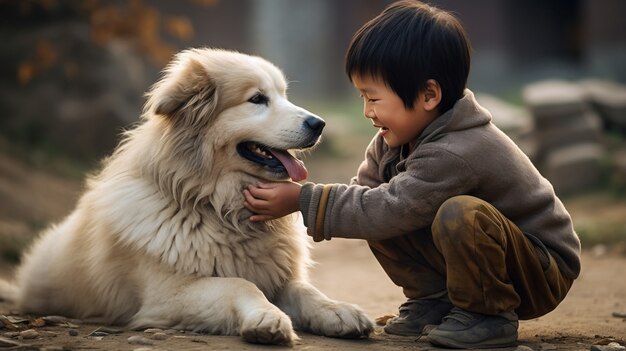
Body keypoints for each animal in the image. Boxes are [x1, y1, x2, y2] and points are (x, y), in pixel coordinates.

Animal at [0, 47, 370, 346]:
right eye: (257, 99)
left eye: (283, 95)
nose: (319, 124)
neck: (215, 206)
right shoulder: (168, 295)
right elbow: (239, 284)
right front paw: (267, 319)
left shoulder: (278, 276)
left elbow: (305, 289)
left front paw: (338, 310)